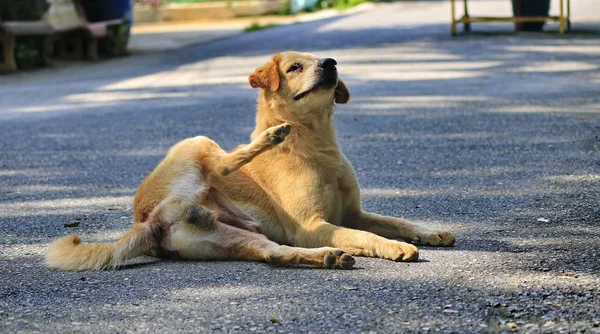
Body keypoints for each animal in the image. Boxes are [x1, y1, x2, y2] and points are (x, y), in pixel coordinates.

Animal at [45, 51, 454, 272]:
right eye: (294, 67)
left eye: (321, 59)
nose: (330, 62)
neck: (314, 145)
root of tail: (145, 221)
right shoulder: (311, 226)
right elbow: (366, 235)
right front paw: (395, 248)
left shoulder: (351, 212)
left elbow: (394, 221)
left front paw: (429, 232)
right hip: (196, 143)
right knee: (220, 165)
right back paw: (266, 139)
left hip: (234, 236)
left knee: (274, 254)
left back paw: (327, 258)